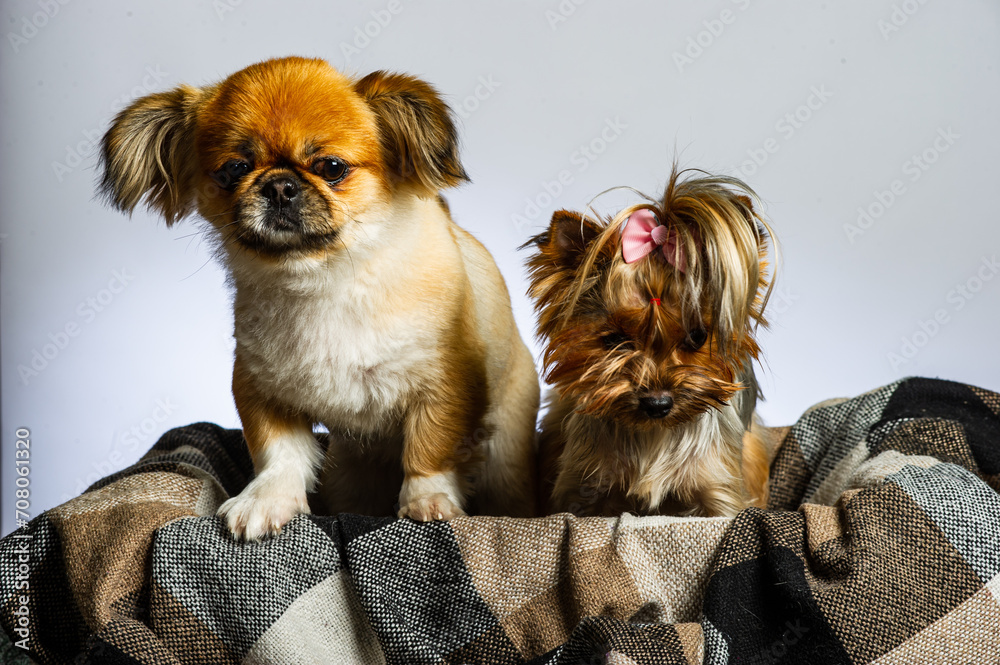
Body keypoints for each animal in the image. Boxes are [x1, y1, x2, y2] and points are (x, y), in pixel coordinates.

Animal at [528, 169, 776, 516]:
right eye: (615, 339)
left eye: (697, 336)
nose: (657, 404)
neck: (652, 434)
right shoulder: (584, 492)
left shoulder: (718, 496)